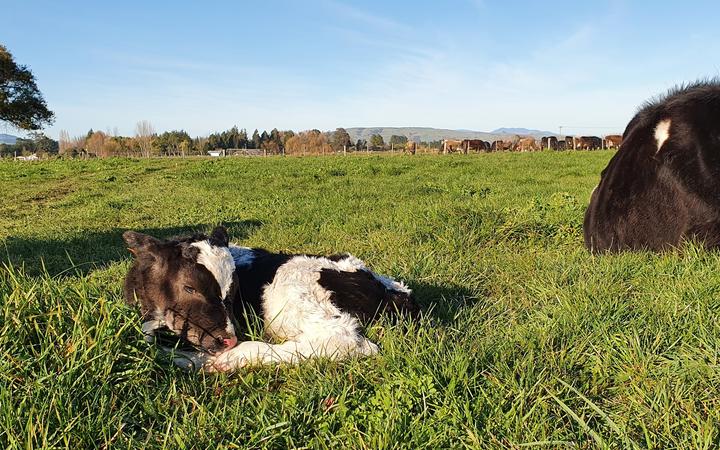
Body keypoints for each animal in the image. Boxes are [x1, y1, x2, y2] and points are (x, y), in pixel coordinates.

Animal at [122, 227, 416, 370]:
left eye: (234, 290)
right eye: (190, 288)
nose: (228, 340)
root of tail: (393, 291)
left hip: (292, 295)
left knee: (345, 342)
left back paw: (213, 362)